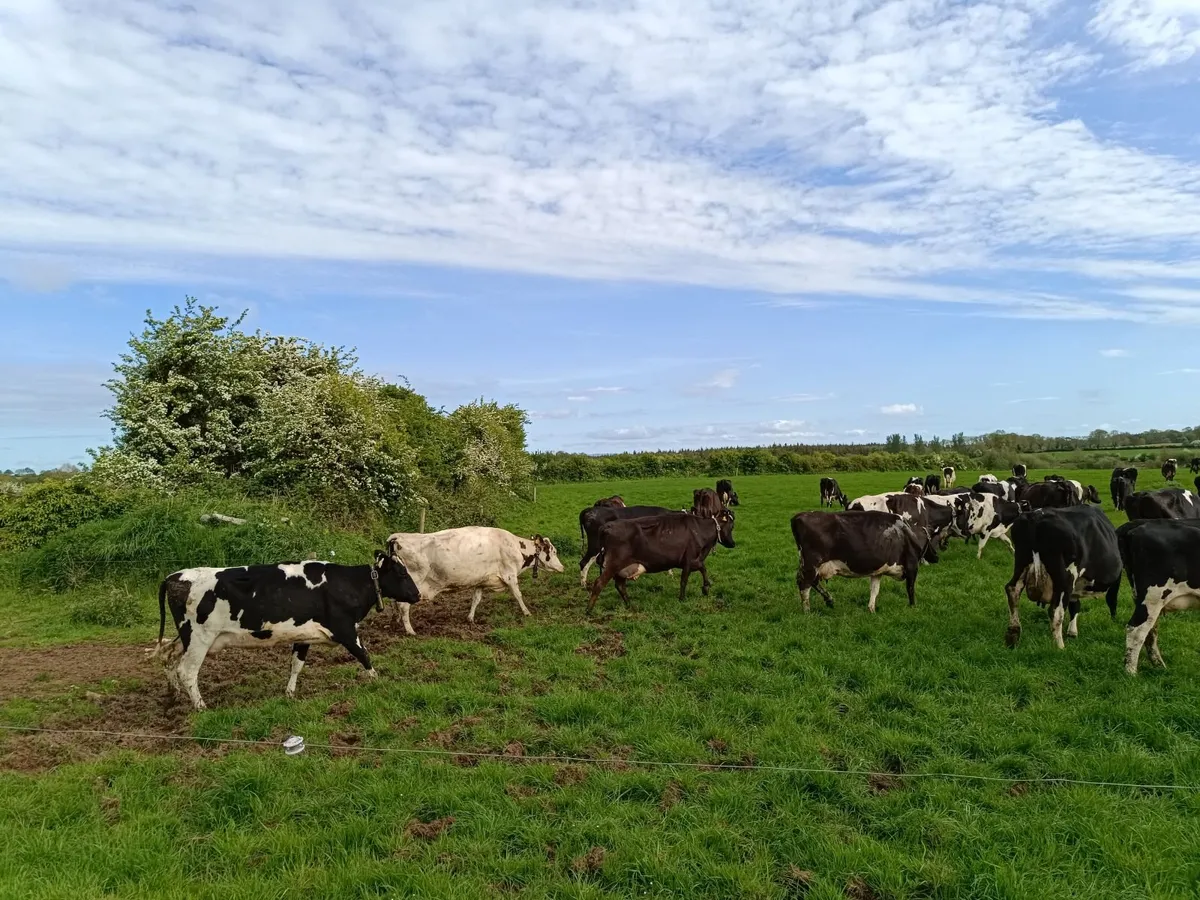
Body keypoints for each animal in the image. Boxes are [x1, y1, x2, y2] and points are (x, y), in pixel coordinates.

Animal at [152, 551, 421, 710]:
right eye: (401, 572)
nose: (417, 594)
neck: (348, 584)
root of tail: (174, 576)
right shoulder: (345, 629)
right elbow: (364, 656)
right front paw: (378, 682)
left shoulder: (304, 635)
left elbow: (296, 665)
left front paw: (289, 694)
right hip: (199, 638)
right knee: (187, 671)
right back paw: (201, 707)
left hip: (186, 637)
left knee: (167, 654)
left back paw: (174, 695)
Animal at [386, 527, 564, 629]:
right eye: (554, 551)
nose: (563, 567)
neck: (515, 546)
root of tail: (397, 537)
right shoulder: (510, 575)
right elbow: (518, 595)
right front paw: (527, 613)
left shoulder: (481, 580)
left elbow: (476, 599)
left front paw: (470, 618)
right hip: (413, 584)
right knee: (403, 606)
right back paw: (410, 631)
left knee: (395, 603)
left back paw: (396, 621)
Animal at [586, 510, 736, 612]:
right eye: (732, 526)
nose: (733, 543)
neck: (699, 530)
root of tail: (607, 527)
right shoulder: (689, 559)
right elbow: (686, 579)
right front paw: (684, 597)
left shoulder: (692, 561)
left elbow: (703, 569)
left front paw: (705, 588)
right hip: (614, 564)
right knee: (599, 583)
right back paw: (589, 610)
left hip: (621, 568)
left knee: (620, 586)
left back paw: (630, 605)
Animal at [791, 510, 937, 613]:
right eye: (932, 540)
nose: (937, 557)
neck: (908, 533)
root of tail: (799, 516)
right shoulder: (912, 566)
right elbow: (910, 589)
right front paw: (913, 606)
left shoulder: (877, 572)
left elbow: (874, 590)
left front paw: (871, 609)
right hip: (811, 563)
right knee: (804, 584)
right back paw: (807, 611)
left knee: (812, 582)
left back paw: (829, 600)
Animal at [1003, 505, 1122, 650]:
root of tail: (1036, 516)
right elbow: (1112, 600)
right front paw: (1114, 621)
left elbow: (1075, 605)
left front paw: (1072, 632)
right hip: (1065, 577)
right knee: (1056, 610)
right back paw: (1059, 646)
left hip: (1021, 563)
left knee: (1012, 590)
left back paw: (1013, 635)